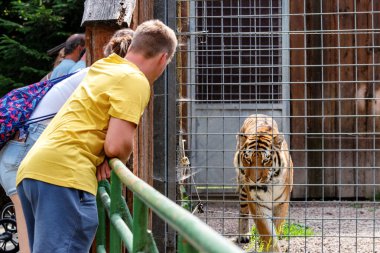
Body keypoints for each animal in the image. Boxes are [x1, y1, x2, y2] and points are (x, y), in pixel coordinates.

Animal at [232, 114, 294, 253]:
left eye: (266, 160)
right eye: (248, 158)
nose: (254, 180)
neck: (268, 187)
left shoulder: (282, 203)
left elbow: (276, 225)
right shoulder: (257, 203)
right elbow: (267, 231)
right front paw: (271, 248)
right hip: (243, 189)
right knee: (243, 212)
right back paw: (244, 235)